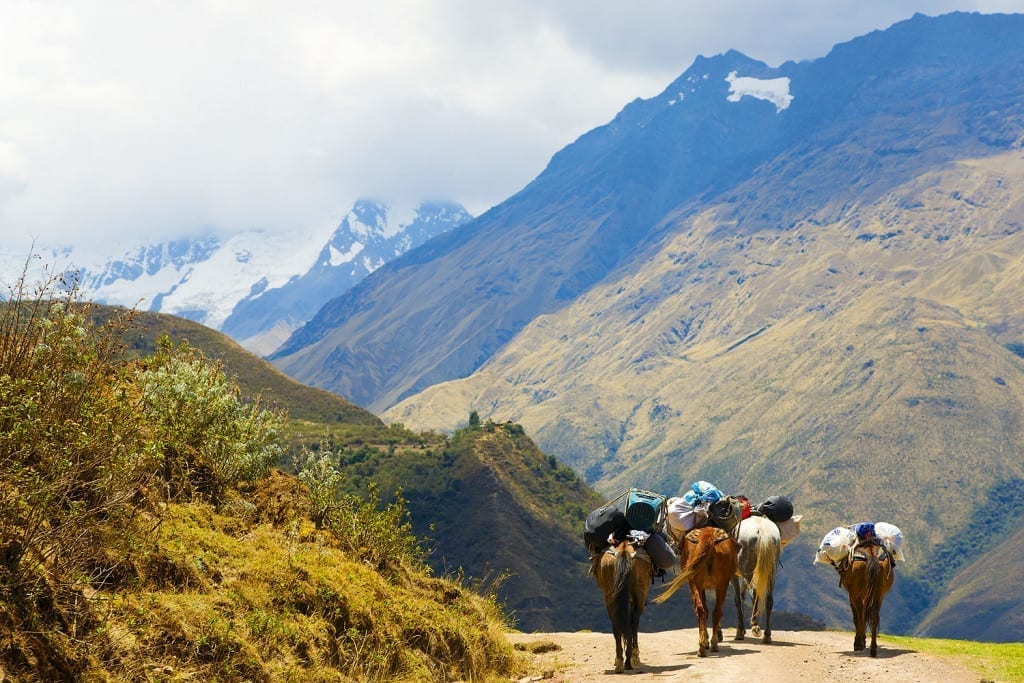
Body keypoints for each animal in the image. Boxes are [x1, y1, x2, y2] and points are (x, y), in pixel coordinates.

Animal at [589, 540, 651, 671]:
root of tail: (624, 551)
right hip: (640, 593)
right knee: (633, 623)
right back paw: (630, 659)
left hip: (610, 595)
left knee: (617, 625)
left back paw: (620, 661)